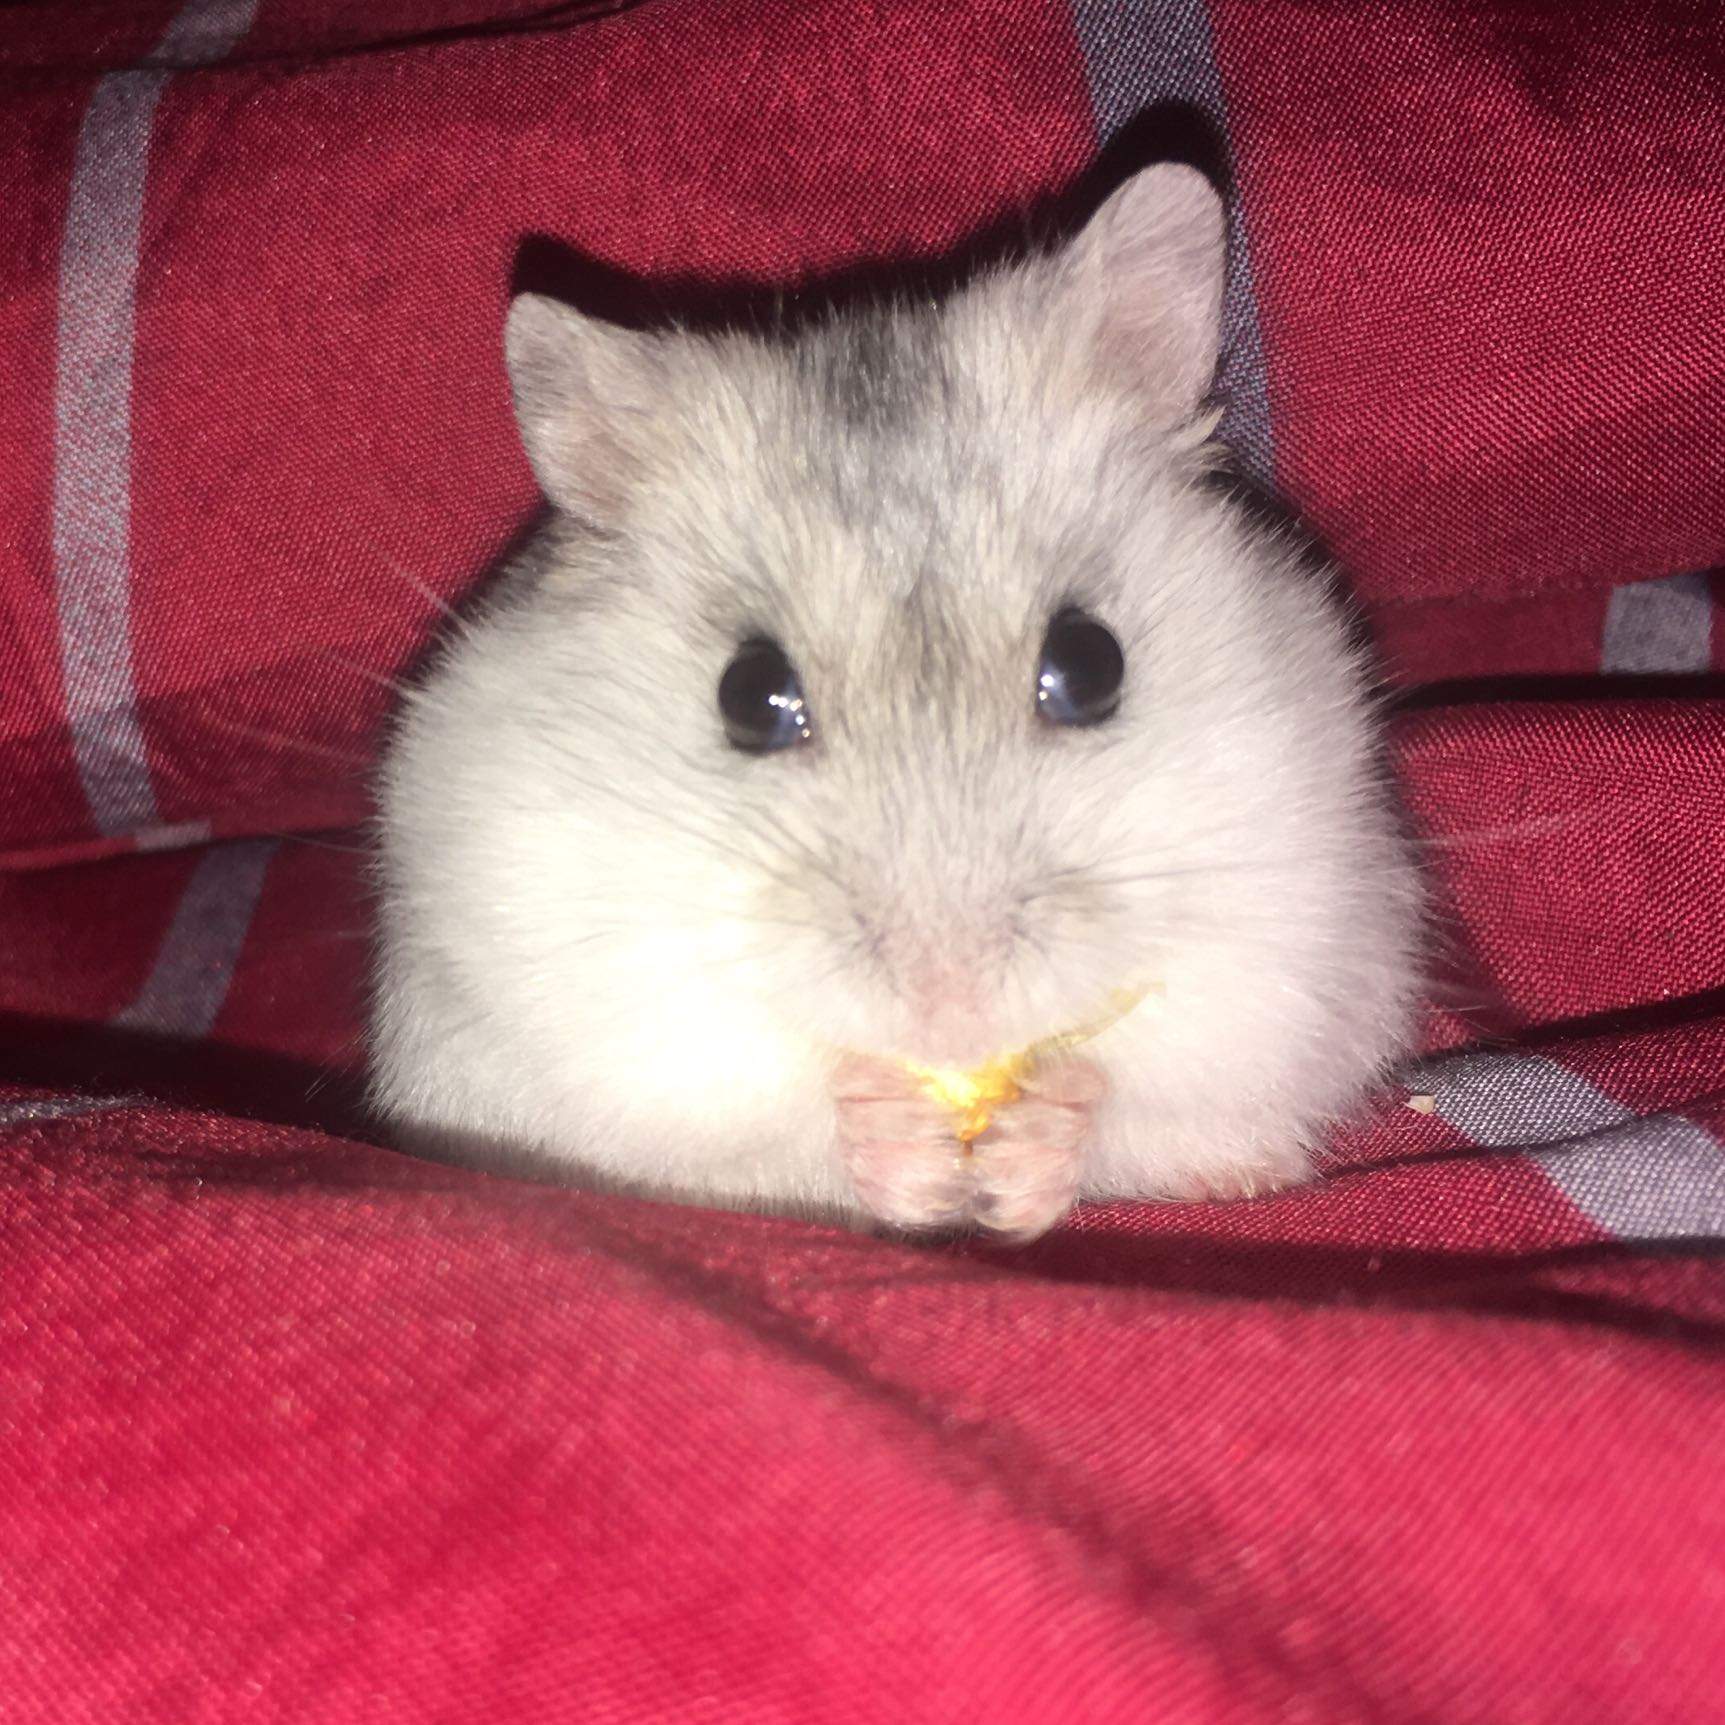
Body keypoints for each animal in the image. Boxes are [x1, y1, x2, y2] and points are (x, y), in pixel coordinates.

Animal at [371, 163, 1422, 1241]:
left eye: (1090, 666)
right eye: (750, 697)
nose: (950, 1008)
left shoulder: (1283, 928)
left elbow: (1145, 1079)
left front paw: (1037, 1144)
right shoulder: (593, 985)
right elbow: (760, 1109)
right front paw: (896, 1143)